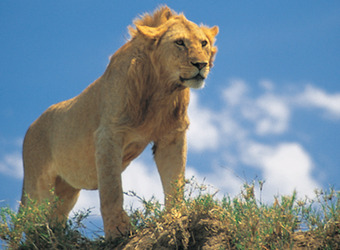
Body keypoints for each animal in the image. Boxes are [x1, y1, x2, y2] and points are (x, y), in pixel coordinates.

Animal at [20, 5, 218, 238]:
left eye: (203, 43)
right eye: (179, 42)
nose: (201, 64)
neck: (161, 88)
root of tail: (30, 127)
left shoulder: (171, 136)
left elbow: (175, 180)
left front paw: (176, 217)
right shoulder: (108, 134)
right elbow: (112, 189)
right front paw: (117, 230)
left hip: (66, 191)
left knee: (53, 218)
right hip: (37, 186)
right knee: (33, 222)